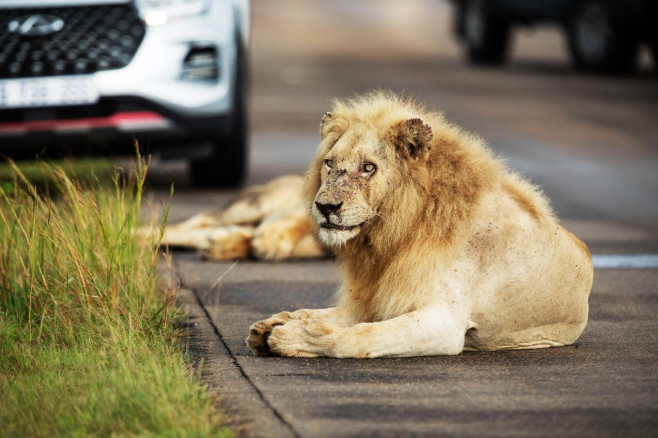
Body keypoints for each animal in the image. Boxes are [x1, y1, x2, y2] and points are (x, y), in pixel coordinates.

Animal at [243, 90, 592, 358]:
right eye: (329, 163)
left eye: (368, 167)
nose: (325, 207)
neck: (397, 231)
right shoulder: (377, 298)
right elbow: (322, 314)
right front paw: (273, 323)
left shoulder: (445, 323)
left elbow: (359, 336)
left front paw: (292, 336)